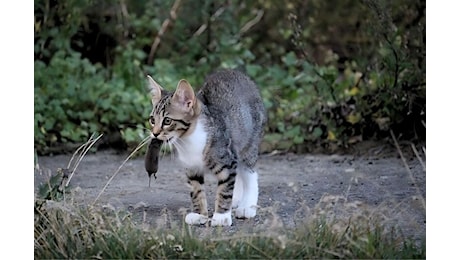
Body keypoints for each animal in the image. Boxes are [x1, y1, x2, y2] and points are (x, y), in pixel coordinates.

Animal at [144, 69, 266, 225]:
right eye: (152, 120)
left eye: (167, 121)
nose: (154, 133)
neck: (188, 140)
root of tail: (236, 72)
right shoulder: (192, 168)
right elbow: (196, 191)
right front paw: (199, 215)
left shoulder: (227, 161)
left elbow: (224, 190)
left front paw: (221, 216)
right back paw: (236, 200)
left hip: (248, 144)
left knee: (249, 173)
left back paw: (247, 207)